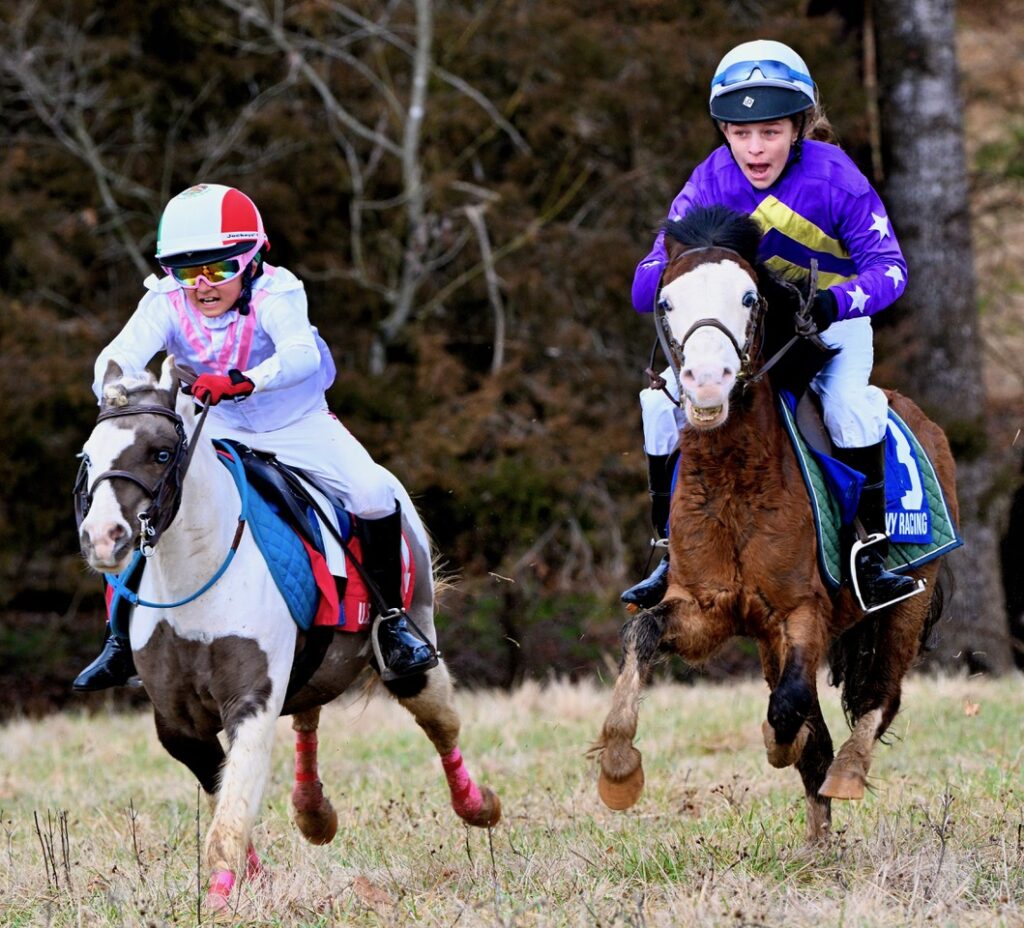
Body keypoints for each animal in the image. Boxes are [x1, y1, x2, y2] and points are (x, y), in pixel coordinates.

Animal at [75, 357, 501, 909]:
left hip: (414, 643)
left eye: (161, 453)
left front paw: (220, 895)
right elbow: (224, 792)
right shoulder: (176, 721)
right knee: (308, 717)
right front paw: (250, 879)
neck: (197, 570)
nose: (103, 538)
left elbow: (232, 809)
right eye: (89, 456)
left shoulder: (251, 701)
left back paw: (477, 805)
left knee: (439, 722)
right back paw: (313, 812)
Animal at [593, 206, 959, 842]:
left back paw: (848, 773)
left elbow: (789, 711)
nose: (706, 382)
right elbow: (641, 633)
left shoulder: (802, 611)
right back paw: (817, 846)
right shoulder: (705, 609)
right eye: (665, 300)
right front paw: (618, 769)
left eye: (749, 297)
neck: (735, 481)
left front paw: (780, 741)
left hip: (910, 599)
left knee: (879, 696)